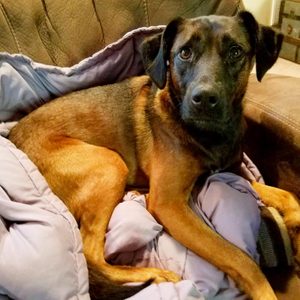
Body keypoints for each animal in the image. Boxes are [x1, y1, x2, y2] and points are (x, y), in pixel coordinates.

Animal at [8, 10, 296, 298]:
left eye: (236, 52)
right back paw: (154, 274)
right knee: (91, 255)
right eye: (184, 53)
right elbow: (240, 258)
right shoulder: (169, 204)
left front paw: (294, 221)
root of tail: (12, 135)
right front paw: (263, 289)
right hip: (111, 164)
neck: (207, 135)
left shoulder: (233, 173)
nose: (204, 99)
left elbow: (287, 195)